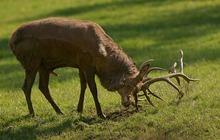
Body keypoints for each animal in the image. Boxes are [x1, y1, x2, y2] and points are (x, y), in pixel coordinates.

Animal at [9, 17, 198, 118]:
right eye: (130, 85)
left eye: (137, 89)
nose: (128, 103)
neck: (102, 54)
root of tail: (11, 41)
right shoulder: (86, 62)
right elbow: (93, 88)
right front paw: (101, 114)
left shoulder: (80, 64)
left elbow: (83, 85)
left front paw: (78, 110)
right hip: (31, 60)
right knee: (26, 86)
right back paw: (32, 113)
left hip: (44, 64)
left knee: (43, 87)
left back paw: (60, 111)